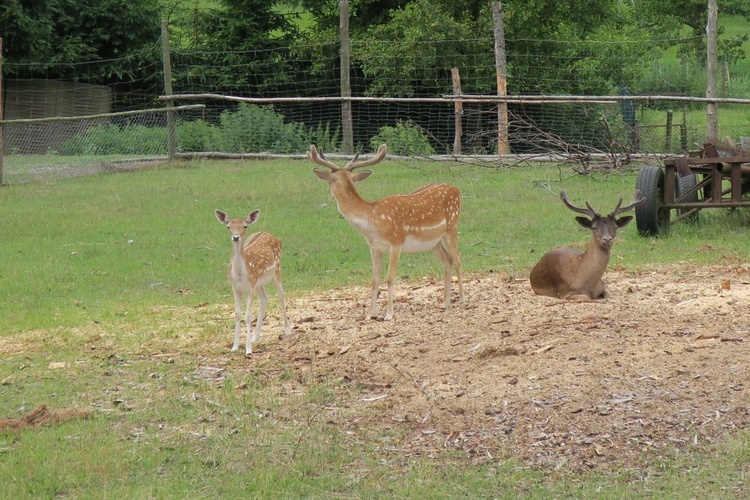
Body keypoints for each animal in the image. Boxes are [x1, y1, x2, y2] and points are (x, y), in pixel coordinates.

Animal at [214, 209, 294, 354]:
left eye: (245, 226)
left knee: (281, 295)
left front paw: (248, 349)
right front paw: (234, 347)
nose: (236, 237)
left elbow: (248, 316)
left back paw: (287, 330)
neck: (240, 275)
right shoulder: (235, 288)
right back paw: (255, 337)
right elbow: (237, 314)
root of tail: (276, 238)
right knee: (264, 298)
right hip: (259, 283)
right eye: (228, 226)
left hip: (277, 271)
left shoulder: (250, 288)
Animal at [306, 144, 464, 320]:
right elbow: (374, 280)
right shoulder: (375, 248)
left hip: (452, 227)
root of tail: (457, 190)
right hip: (434, 242)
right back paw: (446, 303)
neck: (373, 222)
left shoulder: (396, 242)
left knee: (458, 260)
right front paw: (371, 314)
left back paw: (462, 299)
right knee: (447, 261)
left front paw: (388, 314)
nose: (329, 194)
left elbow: (389, 278)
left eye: (329, 181)